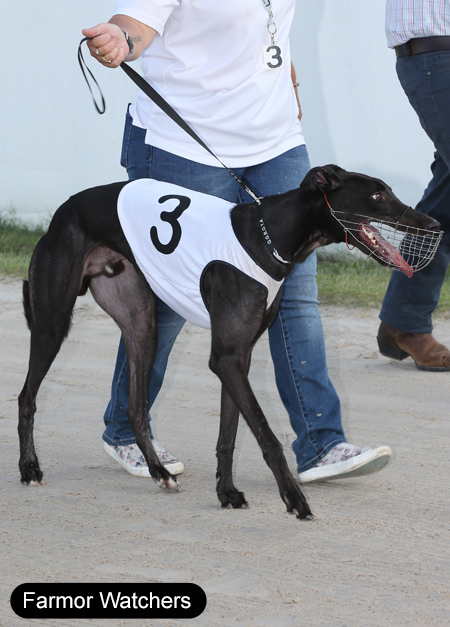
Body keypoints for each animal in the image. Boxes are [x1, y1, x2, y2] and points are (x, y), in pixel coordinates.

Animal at [17, 165, 441, 520]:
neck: (270, 236)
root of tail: (63, 210)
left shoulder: (240, 356)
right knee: (27, 396)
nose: (434, 223)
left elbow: (229, 434)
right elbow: (267, 436)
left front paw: (227, 493)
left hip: (142, 323)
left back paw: (159, 472)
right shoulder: (227, 357)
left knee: (136, 406)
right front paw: (294, 499)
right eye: (377, 195)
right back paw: (29, 468)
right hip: (53, 324)